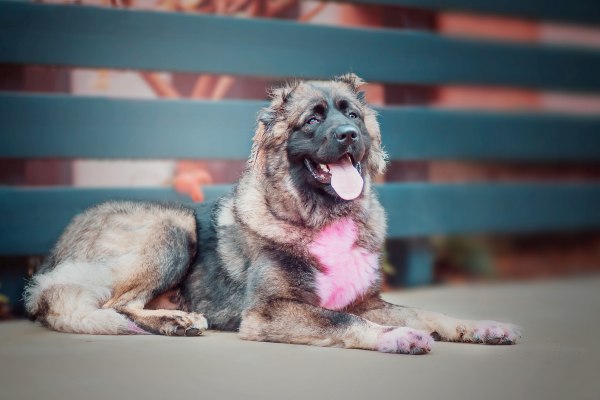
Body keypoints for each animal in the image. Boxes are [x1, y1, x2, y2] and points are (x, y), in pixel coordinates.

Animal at [23, 74, 520, 354]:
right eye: (312, 120)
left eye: (353, 116)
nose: (348, 135)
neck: (321, 216)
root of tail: (53, 259)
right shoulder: (269, 312)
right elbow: (342, 321)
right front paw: (395, 337)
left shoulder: (369, 301)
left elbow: (428, 312)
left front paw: (481, 327)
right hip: (172, 225)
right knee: (116, 305)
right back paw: (175, 322)